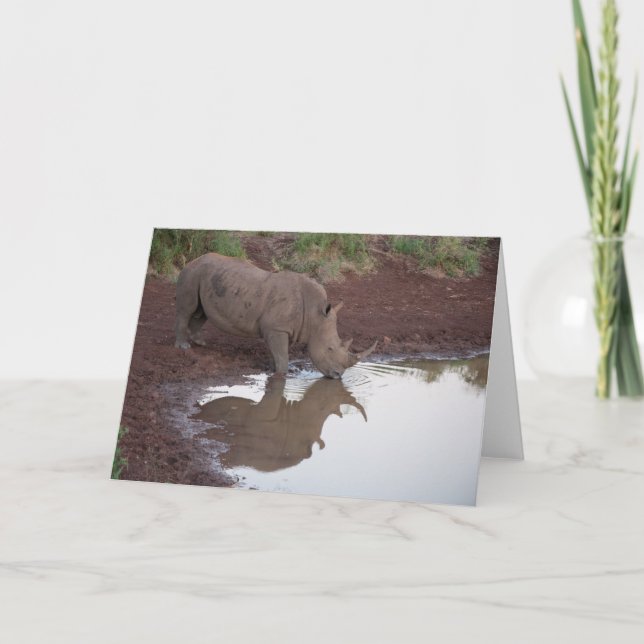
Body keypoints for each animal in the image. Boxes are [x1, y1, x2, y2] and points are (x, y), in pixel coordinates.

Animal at [175, 253, 377, 378]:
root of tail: (193, 260)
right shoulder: (277, 328)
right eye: (330, 349)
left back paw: (199, 342)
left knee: (201, 312)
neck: (315, 316)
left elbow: (277, 353)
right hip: (192, 273)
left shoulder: (279, 329)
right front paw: (281, 375)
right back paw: (183, 346)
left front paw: (273, 369)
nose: (338, 376)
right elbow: (282, 356)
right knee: (187, 308)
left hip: (205, 276)